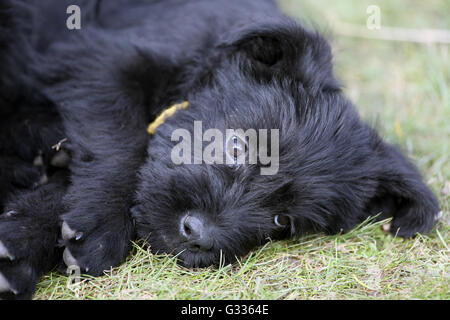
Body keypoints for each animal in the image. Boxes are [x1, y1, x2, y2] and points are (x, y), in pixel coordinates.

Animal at [0, 0, 440, 300]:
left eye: (282, 222)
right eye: (237, 146)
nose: (197, 237)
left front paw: (20, 248)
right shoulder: (102, 62)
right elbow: (123, 140)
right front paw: (101, 227)